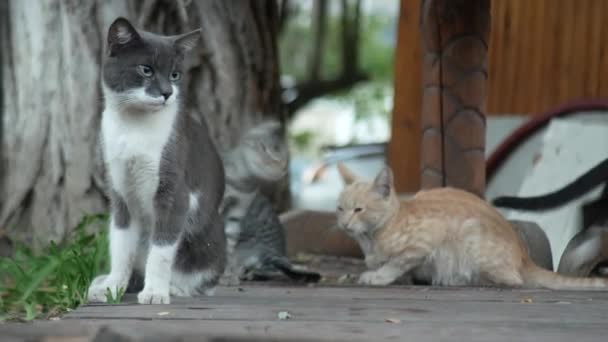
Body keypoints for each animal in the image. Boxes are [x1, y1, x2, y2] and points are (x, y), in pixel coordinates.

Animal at [86, 17, 224, 304]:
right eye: (146, 70)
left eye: (175, 75)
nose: (167, 93)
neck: (133, 127)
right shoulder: (120, 191)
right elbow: (121, 246)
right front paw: (112, 286)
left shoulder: (175, 192)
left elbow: (161, 250)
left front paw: (155, 292)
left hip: (211, 238)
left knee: (202, 276)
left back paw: (176, 288)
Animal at [334, 164, 604, 292]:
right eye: (340, 209)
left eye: (358, 209)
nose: (344, 224)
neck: (371, 239)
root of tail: (524, 257)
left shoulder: (425, 241)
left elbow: (396, 262)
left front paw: (378, 276)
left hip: (471, 236)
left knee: (513, 280)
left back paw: (460, 280)